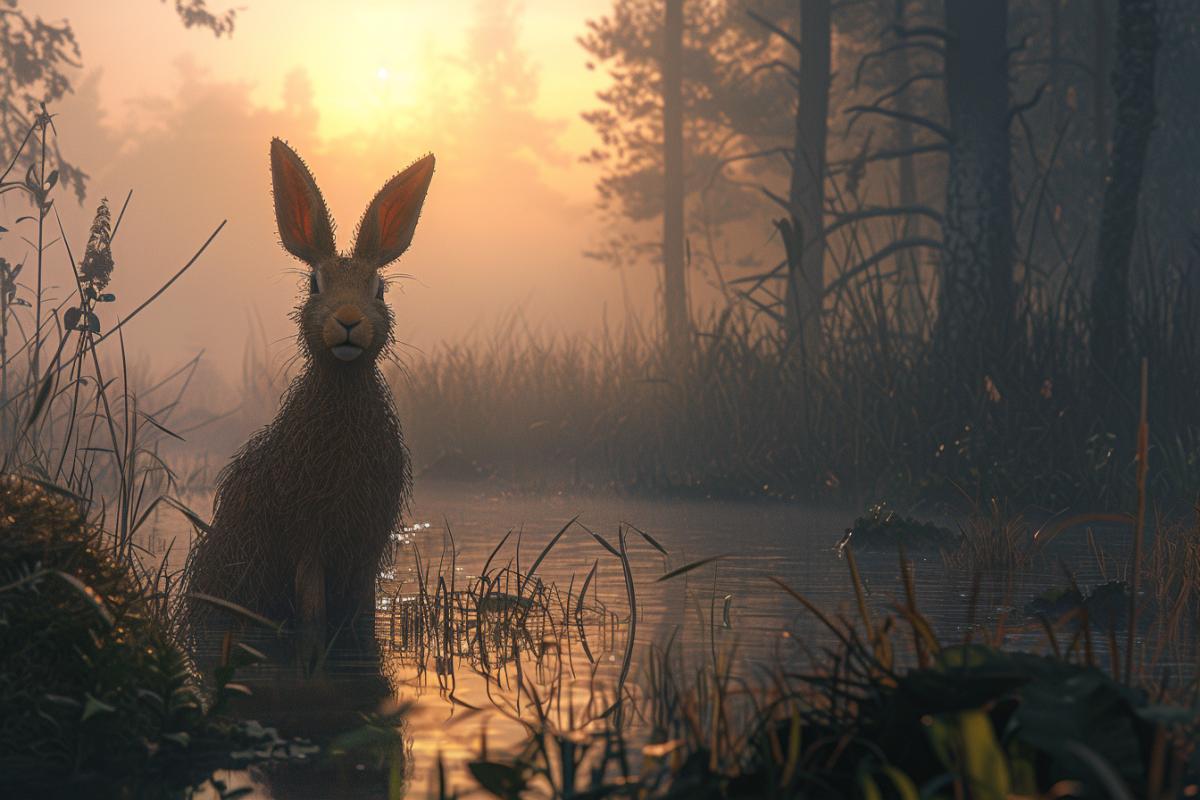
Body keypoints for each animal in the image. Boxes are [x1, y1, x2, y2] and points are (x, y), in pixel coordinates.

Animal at [186, 139, 434, 658]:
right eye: (313, 284)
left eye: (380, 288)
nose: (348, 320)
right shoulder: (308, 544)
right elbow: (314, 618)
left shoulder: (364, 552)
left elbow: (361, 616)